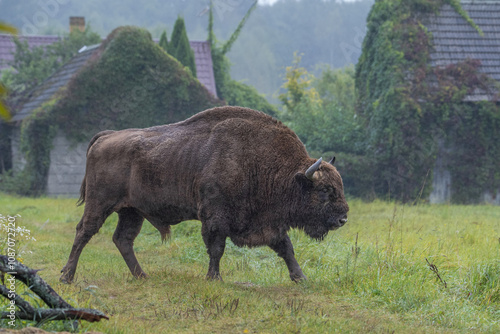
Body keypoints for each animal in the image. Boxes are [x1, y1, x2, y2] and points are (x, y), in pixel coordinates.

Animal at [60, 105, 350, 284]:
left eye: (339, 186)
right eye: (325, 190)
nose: (343, 219)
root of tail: (106, 136)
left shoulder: (270, 224)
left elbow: (286, 249)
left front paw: (301, 279)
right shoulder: (215, 217)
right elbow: (217, 248)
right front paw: (214, 278)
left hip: (132, 211)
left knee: (123, 240)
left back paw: (142, 276)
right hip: (100, 204)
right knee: (84, 232)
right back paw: (67, 276)